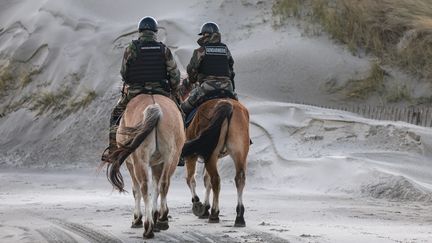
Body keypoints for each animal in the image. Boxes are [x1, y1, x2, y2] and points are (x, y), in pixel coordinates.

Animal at [106, 93, 186, 239]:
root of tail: (155, 107)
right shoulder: (158, 163)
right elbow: (156, 187)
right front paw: (156, 215)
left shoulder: (130, 164)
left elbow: (136, 190)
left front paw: (138, 218)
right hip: (172, 158)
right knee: (164, 184)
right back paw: (162, 219)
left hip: (140, 161)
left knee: (143, 187)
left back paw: (148, 226)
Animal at [181, 98, 250, 227]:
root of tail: (228, 105)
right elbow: (206, 180)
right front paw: (205, 208)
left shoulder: (192, 156)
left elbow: (191, 179)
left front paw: (198, 204)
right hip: (239, 152)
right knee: (239, 179)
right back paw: (239, 217)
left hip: (210, 155)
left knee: (215, 180)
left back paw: (214, 214)